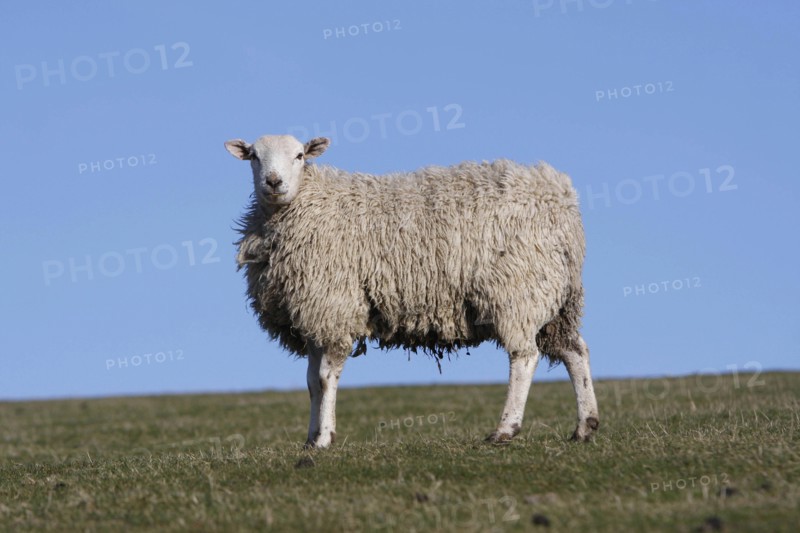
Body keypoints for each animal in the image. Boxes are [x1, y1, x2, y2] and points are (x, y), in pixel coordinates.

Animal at [224, 134, 599, 448]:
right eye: (254, 156)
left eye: (299, 155)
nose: (274, 182)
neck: (306, 203)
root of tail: (559, 196)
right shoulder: (313, 316)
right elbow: (312, 382)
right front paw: (311, 438)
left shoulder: (334, 306)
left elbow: (327, 378)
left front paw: (323, 439)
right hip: (558, 297)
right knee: (574, 350)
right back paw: (585, 425)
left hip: (518, 289)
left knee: (525, 356)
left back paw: (505, 430)